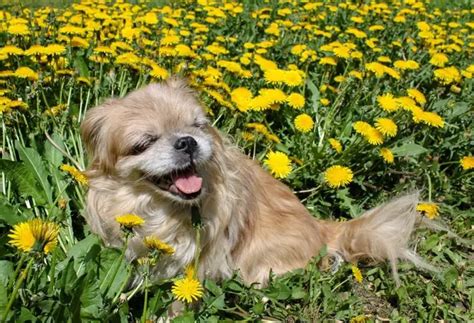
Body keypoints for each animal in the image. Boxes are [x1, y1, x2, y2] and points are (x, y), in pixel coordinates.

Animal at [80, 78, 434, 286]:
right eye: (145, 143)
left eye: (198, 126)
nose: (186, 141)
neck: (163, 210)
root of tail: (323, 229)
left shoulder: (203, 258)